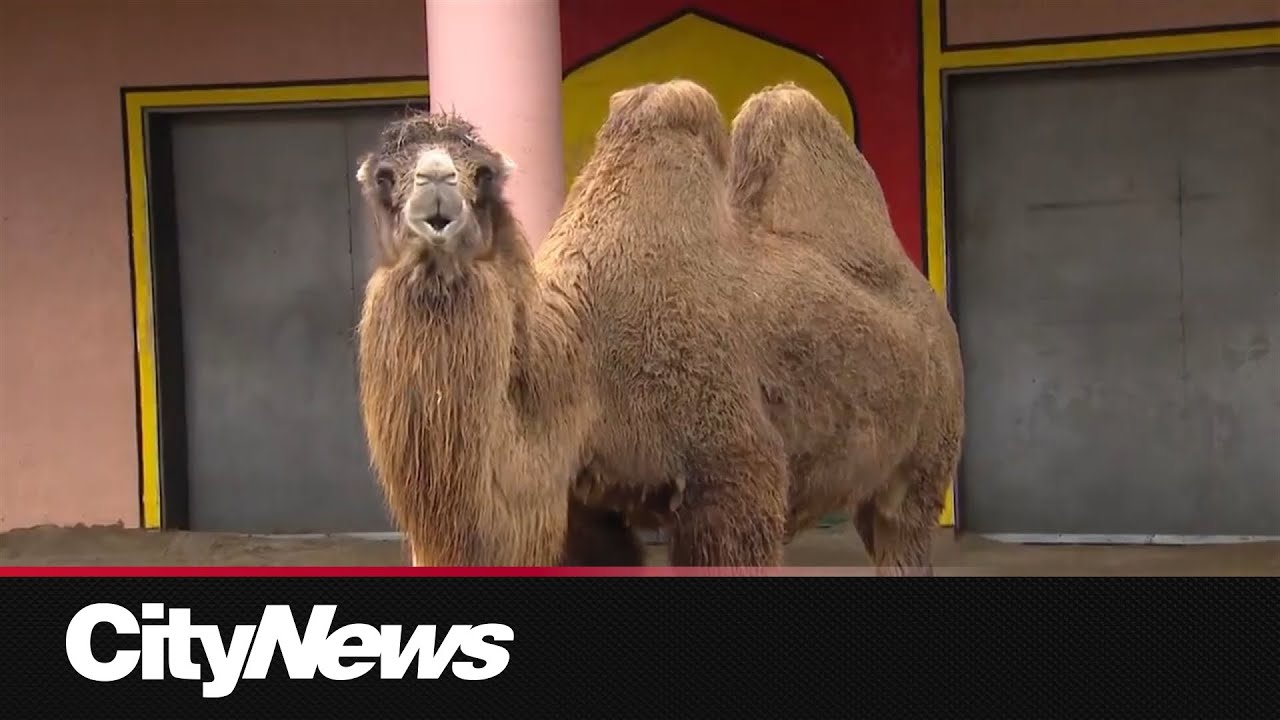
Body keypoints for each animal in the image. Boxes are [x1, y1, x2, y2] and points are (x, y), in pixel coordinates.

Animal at [353, 79, 964, 574]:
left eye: (482, 172)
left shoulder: (735, 475)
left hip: (927, 456)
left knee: (902, 531)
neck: (578, 366)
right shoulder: (582, 505)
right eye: (384, 176)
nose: (436, 187)